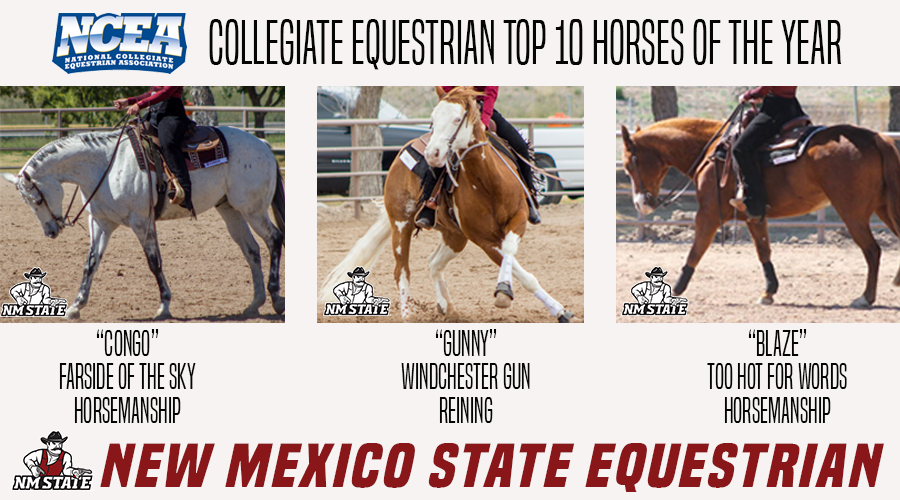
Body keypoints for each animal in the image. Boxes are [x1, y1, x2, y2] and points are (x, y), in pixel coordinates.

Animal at [1, 126, 286, 320]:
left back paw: (276, 298)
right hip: (230, 209)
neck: (105, 166)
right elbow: (90, 264)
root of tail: (262, 144)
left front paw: (164, 306)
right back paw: (254, 304)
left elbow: (154, 262)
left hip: (253, 209)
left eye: (36, 199)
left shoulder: (142, 222)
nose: (50, 231)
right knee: (251, 250)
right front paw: (75, 306)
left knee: (274, 239)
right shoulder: (101, 223)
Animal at [319, 86, 576, 322]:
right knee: (402, 270)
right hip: (402, 224)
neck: (488, 183)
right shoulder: (484, 239)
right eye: (432, 119)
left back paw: (447, 307)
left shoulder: (518, 218)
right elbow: (514, 265)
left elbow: (511, 253)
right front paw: (507, 294)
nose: (432, 154)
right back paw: (408, 313)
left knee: (434, 263)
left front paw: (557, 310)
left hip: (455, 235)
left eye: (456, 119)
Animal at [620, 117, 900, 308]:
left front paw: (677, 288)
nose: (641, 204)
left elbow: (696, 249)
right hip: (884, 207)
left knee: (872, 250)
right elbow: (763, 250)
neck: (712, 152)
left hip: (852, 212)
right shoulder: (753, 216)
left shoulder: (708, 213)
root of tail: (875, 138)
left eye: (629, 164)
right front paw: (769, 292)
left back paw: (865, 298)